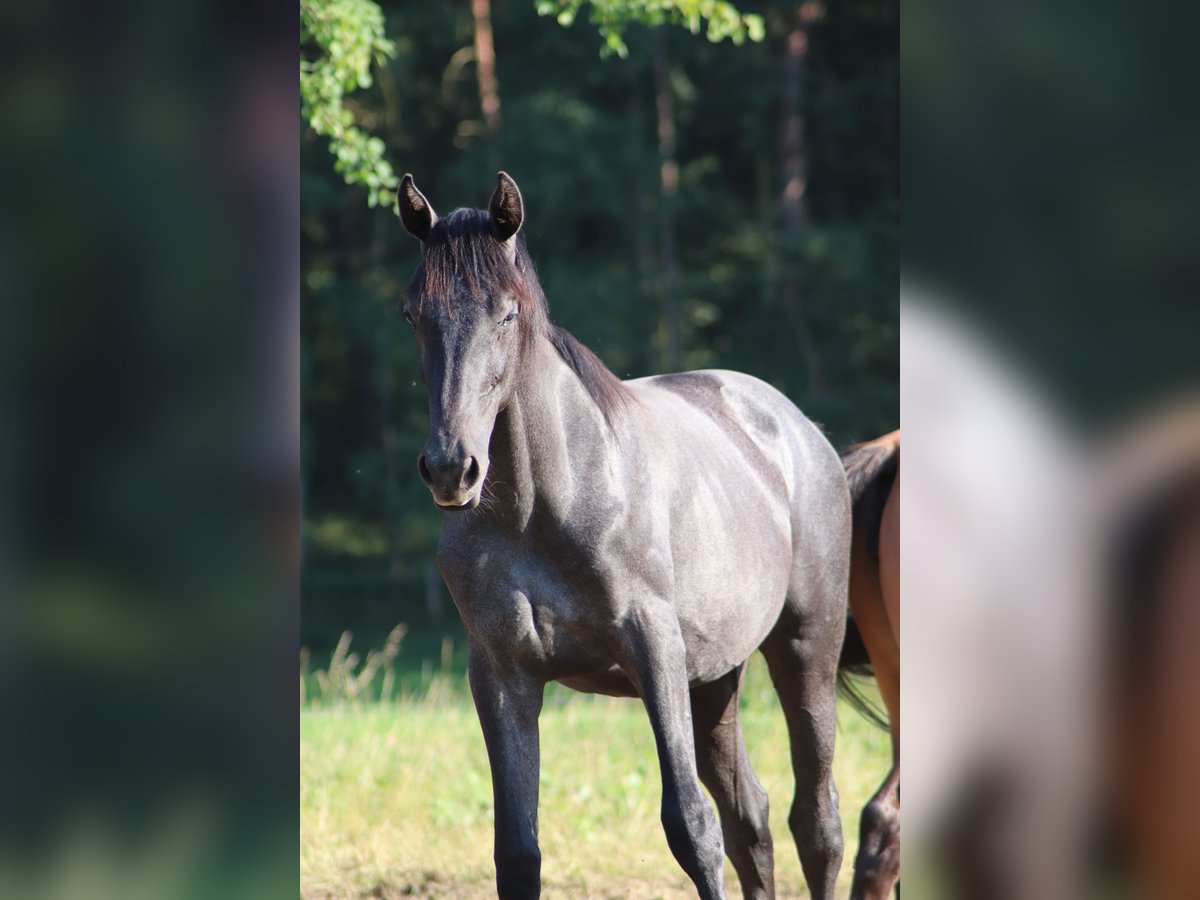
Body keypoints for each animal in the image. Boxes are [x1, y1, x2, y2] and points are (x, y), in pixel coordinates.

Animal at [398, 172, 849, 897]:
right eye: (413, 314)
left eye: (506, 313)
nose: (450, 468)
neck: (535, 509)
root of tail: (801, 430)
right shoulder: (500, 675)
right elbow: (516, 851)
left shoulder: (653, 647)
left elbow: (691, 826)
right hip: (713, 683)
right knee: (752, 820)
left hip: (806, 651)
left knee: (817, 821)